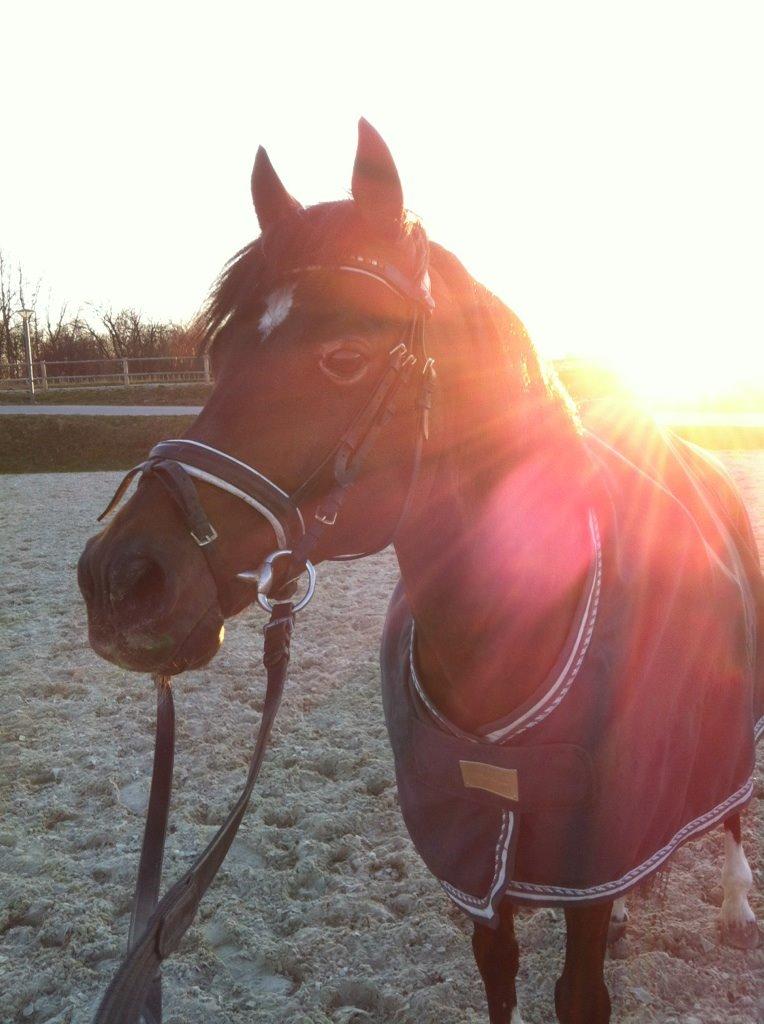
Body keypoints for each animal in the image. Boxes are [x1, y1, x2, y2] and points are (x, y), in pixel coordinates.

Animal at [77, 119, 762, 1024]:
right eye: (220, 353)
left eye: (344, 357)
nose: (118, 580)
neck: (517, 638)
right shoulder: (481, 858)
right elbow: (499, 971)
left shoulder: (590, 857)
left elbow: (579, 993)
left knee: (733, 810)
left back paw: (737, 904)